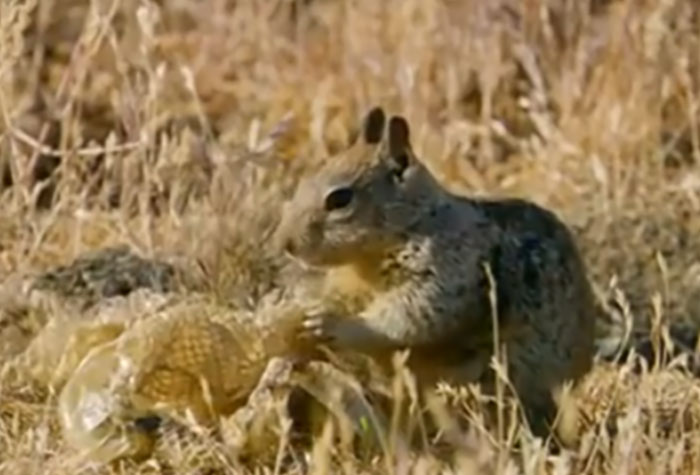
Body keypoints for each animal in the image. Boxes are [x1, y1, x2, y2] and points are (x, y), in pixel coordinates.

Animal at [274, 106, 597, 441]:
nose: (285, 244)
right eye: (303, 182)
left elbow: (404, 320)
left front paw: (331, 325)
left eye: (340, 199)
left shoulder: (444, 278)